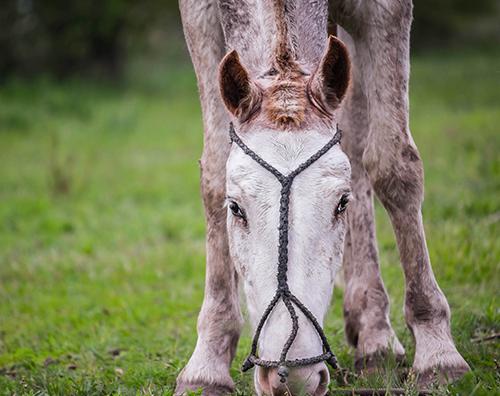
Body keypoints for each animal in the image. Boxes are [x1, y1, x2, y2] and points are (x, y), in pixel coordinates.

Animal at [175, 0, 468, 396]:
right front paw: (207, 363)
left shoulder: (385, 11)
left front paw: (438, 351)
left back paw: (376, 338)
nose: (294, 378)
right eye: (235, 208)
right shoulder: (198, 14)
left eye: (342, 203)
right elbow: (213, 172)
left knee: (359, 143)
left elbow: (394, 166)